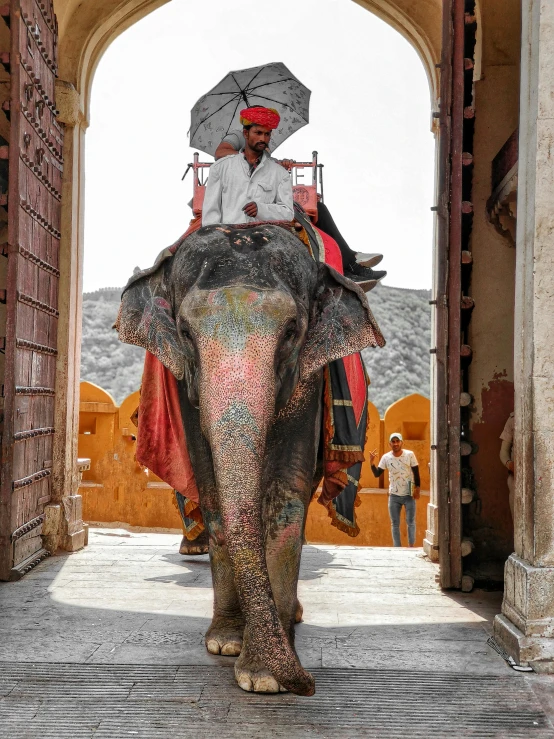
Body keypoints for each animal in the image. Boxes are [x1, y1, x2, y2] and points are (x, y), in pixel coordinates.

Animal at [116, 223, 384, 696]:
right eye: (184, 331)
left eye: (293, 330)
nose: (308, 685)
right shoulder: (185, 385)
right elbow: (211, 489)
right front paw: (226, 644)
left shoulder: (308, 380)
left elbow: (284, 492)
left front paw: (265, 675)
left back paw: (292, 616)